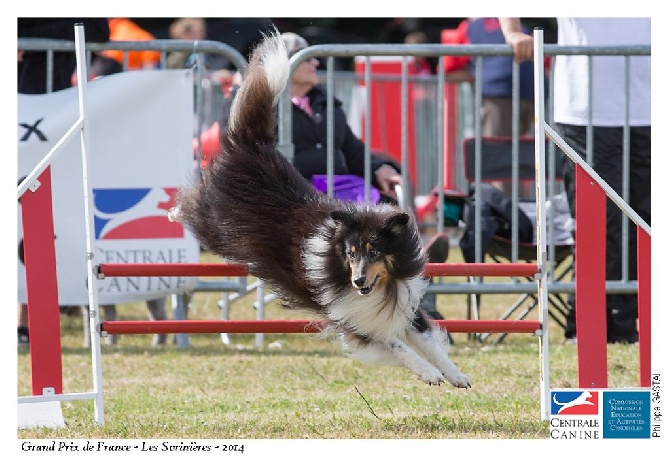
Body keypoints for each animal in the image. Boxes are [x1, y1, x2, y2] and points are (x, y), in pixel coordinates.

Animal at [169, 30, 472, 388]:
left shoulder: (403, 305)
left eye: (374, 251)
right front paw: (429, 373)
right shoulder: (353, 320)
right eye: (351, 254)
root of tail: (253, 145)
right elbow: (397, 345)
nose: (358, 281)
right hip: (215, 224)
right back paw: (174, 212)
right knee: (191, 203)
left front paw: (456, 375)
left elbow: (429, 342)